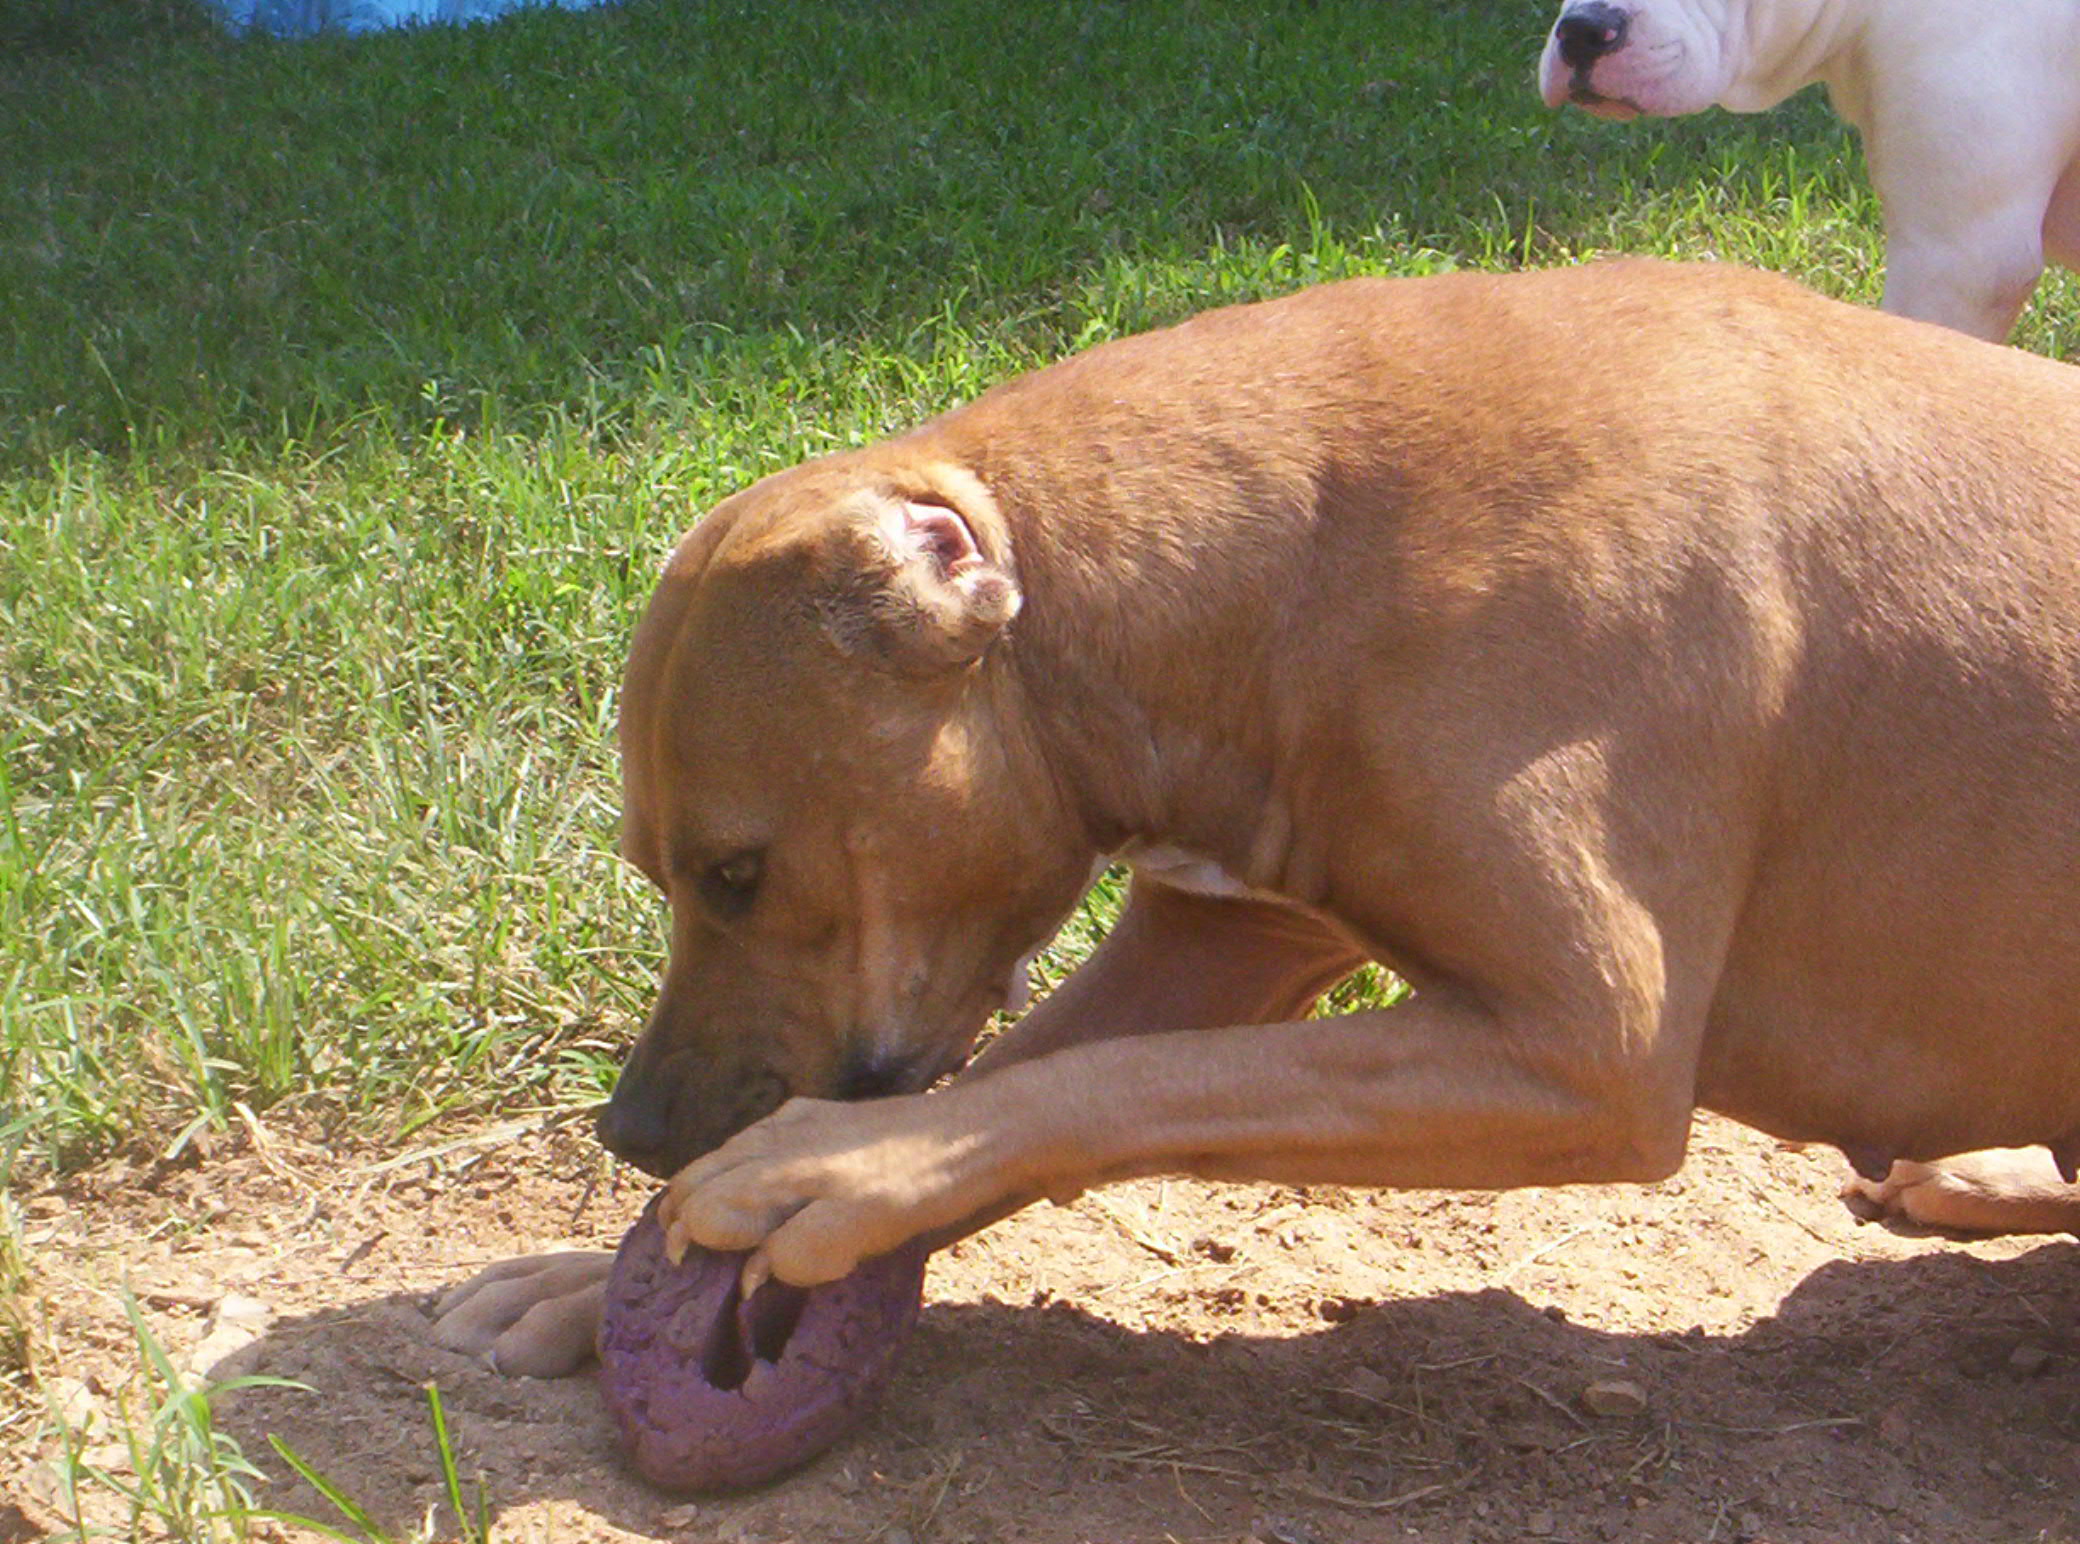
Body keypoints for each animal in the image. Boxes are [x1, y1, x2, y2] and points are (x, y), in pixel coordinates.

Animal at [434, 263, 2080, 1381]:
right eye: (656, 868)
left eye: (735, 869)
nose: (632, 1131)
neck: (1294, 559)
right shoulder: (1221, 943)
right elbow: (1054, 1075)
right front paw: (598, 1279)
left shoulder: (1582, 1050)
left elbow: (1102, 1088)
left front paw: (827, 1170)